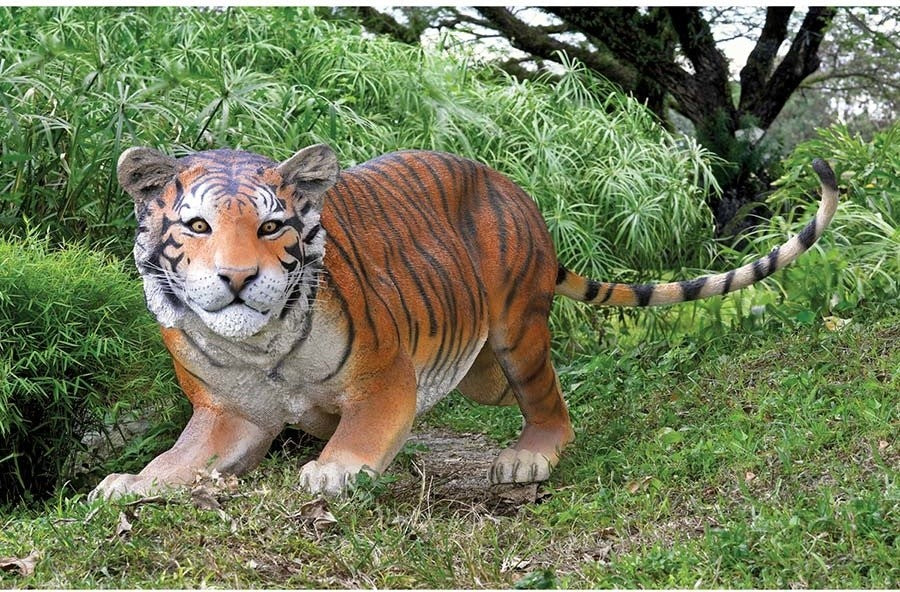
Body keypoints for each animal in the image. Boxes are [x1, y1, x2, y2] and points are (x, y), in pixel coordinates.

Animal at [90, 144, 838, 499]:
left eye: (272, 226)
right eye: (198, 226)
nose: (239, 278)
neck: (259, 348)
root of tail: (524, 199)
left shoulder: (384, 376)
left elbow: (362, 431)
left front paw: (333, 471)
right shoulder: (229, 413)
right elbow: (183, 458)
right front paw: (131, 483)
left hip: (516, 333)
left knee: (550, 401)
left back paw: (529, 456)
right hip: (480, 369)